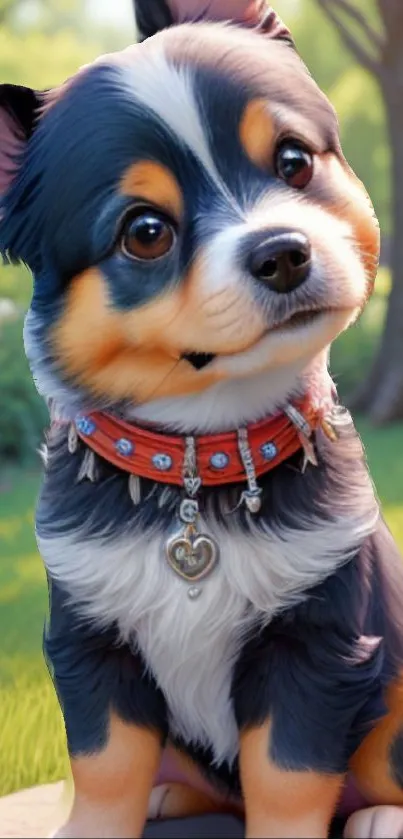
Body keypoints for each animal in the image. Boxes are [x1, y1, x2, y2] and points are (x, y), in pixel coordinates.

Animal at [0, 3, 403, 836]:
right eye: (145, 231)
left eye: (293, 161)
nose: (281, 252)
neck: (199, 456)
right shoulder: (91, 633)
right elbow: (105, 763)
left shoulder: (319, 634)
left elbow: (286, 774)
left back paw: (380, 814)